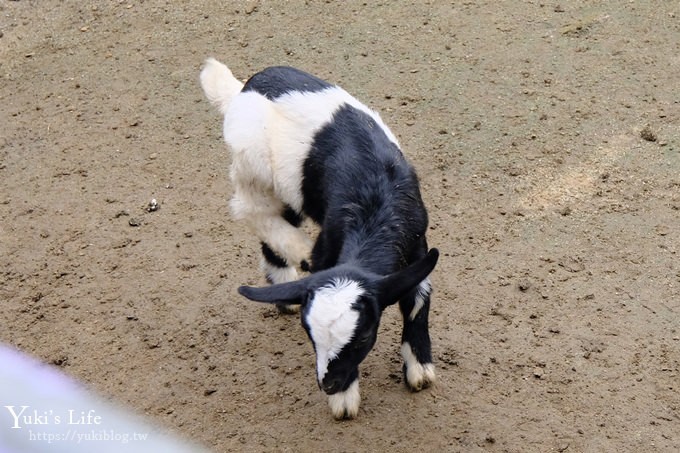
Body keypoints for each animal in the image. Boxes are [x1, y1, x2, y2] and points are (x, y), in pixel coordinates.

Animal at [199, 58, 438, 418]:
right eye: (309, 335)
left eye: (363, 337)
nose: (329, 384)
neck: (375, 205)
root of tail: (244, 87)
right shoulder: (330, 247)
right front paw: (344, 402)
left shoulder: (416, 246)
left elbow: (418, 299)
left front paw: (419, 368)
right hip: (252, 166)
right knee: (250, 210)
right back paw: (296, 255)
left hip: (288, 185)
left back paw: (283, 284)